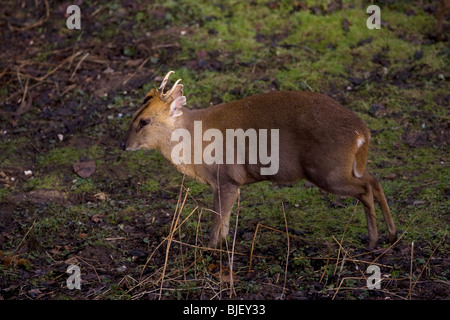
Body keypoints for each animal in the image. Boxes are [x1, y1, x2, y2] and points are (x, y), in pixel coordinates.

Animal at [120, 70, 398, 250]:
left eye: (144, 121)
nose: (124, 145)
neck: (193, 140)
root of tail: (362, 133)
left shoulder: (227, 179)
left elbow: (218, 219)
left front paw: (210, 249)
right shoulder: (229, 184)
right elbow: (225, 221)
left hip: (328, 171)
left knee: (365, 189)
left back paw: (373, 241)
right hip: (348, 167)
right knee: (374, 181)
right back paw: (392, 234)